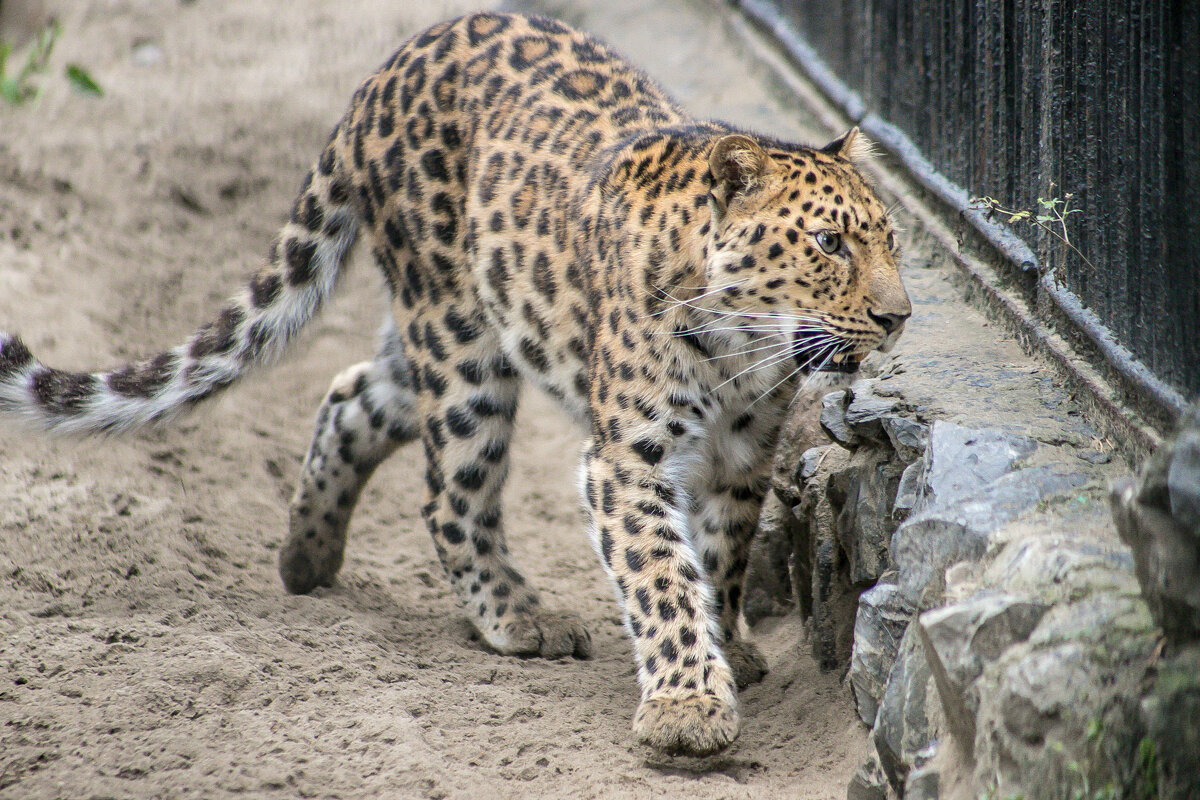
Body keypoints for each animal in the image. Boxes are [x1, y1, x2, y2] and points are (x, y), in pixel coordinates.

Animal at [0, 12, 907, 758]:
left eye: (892, 241)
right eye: (828, 244)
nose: (899, 317)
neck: (738, 348)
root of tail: (389, 66)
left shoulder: (744, 453)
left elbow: (718, 557)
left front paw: (732, 649)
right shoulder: (626, 458)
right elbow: (660, 574)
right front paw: (687, 706)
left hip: (444, 342)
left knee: (352, 396)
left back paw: (306, 558)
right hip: (459, 340)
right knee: (450, 495)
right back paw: (517, 617)